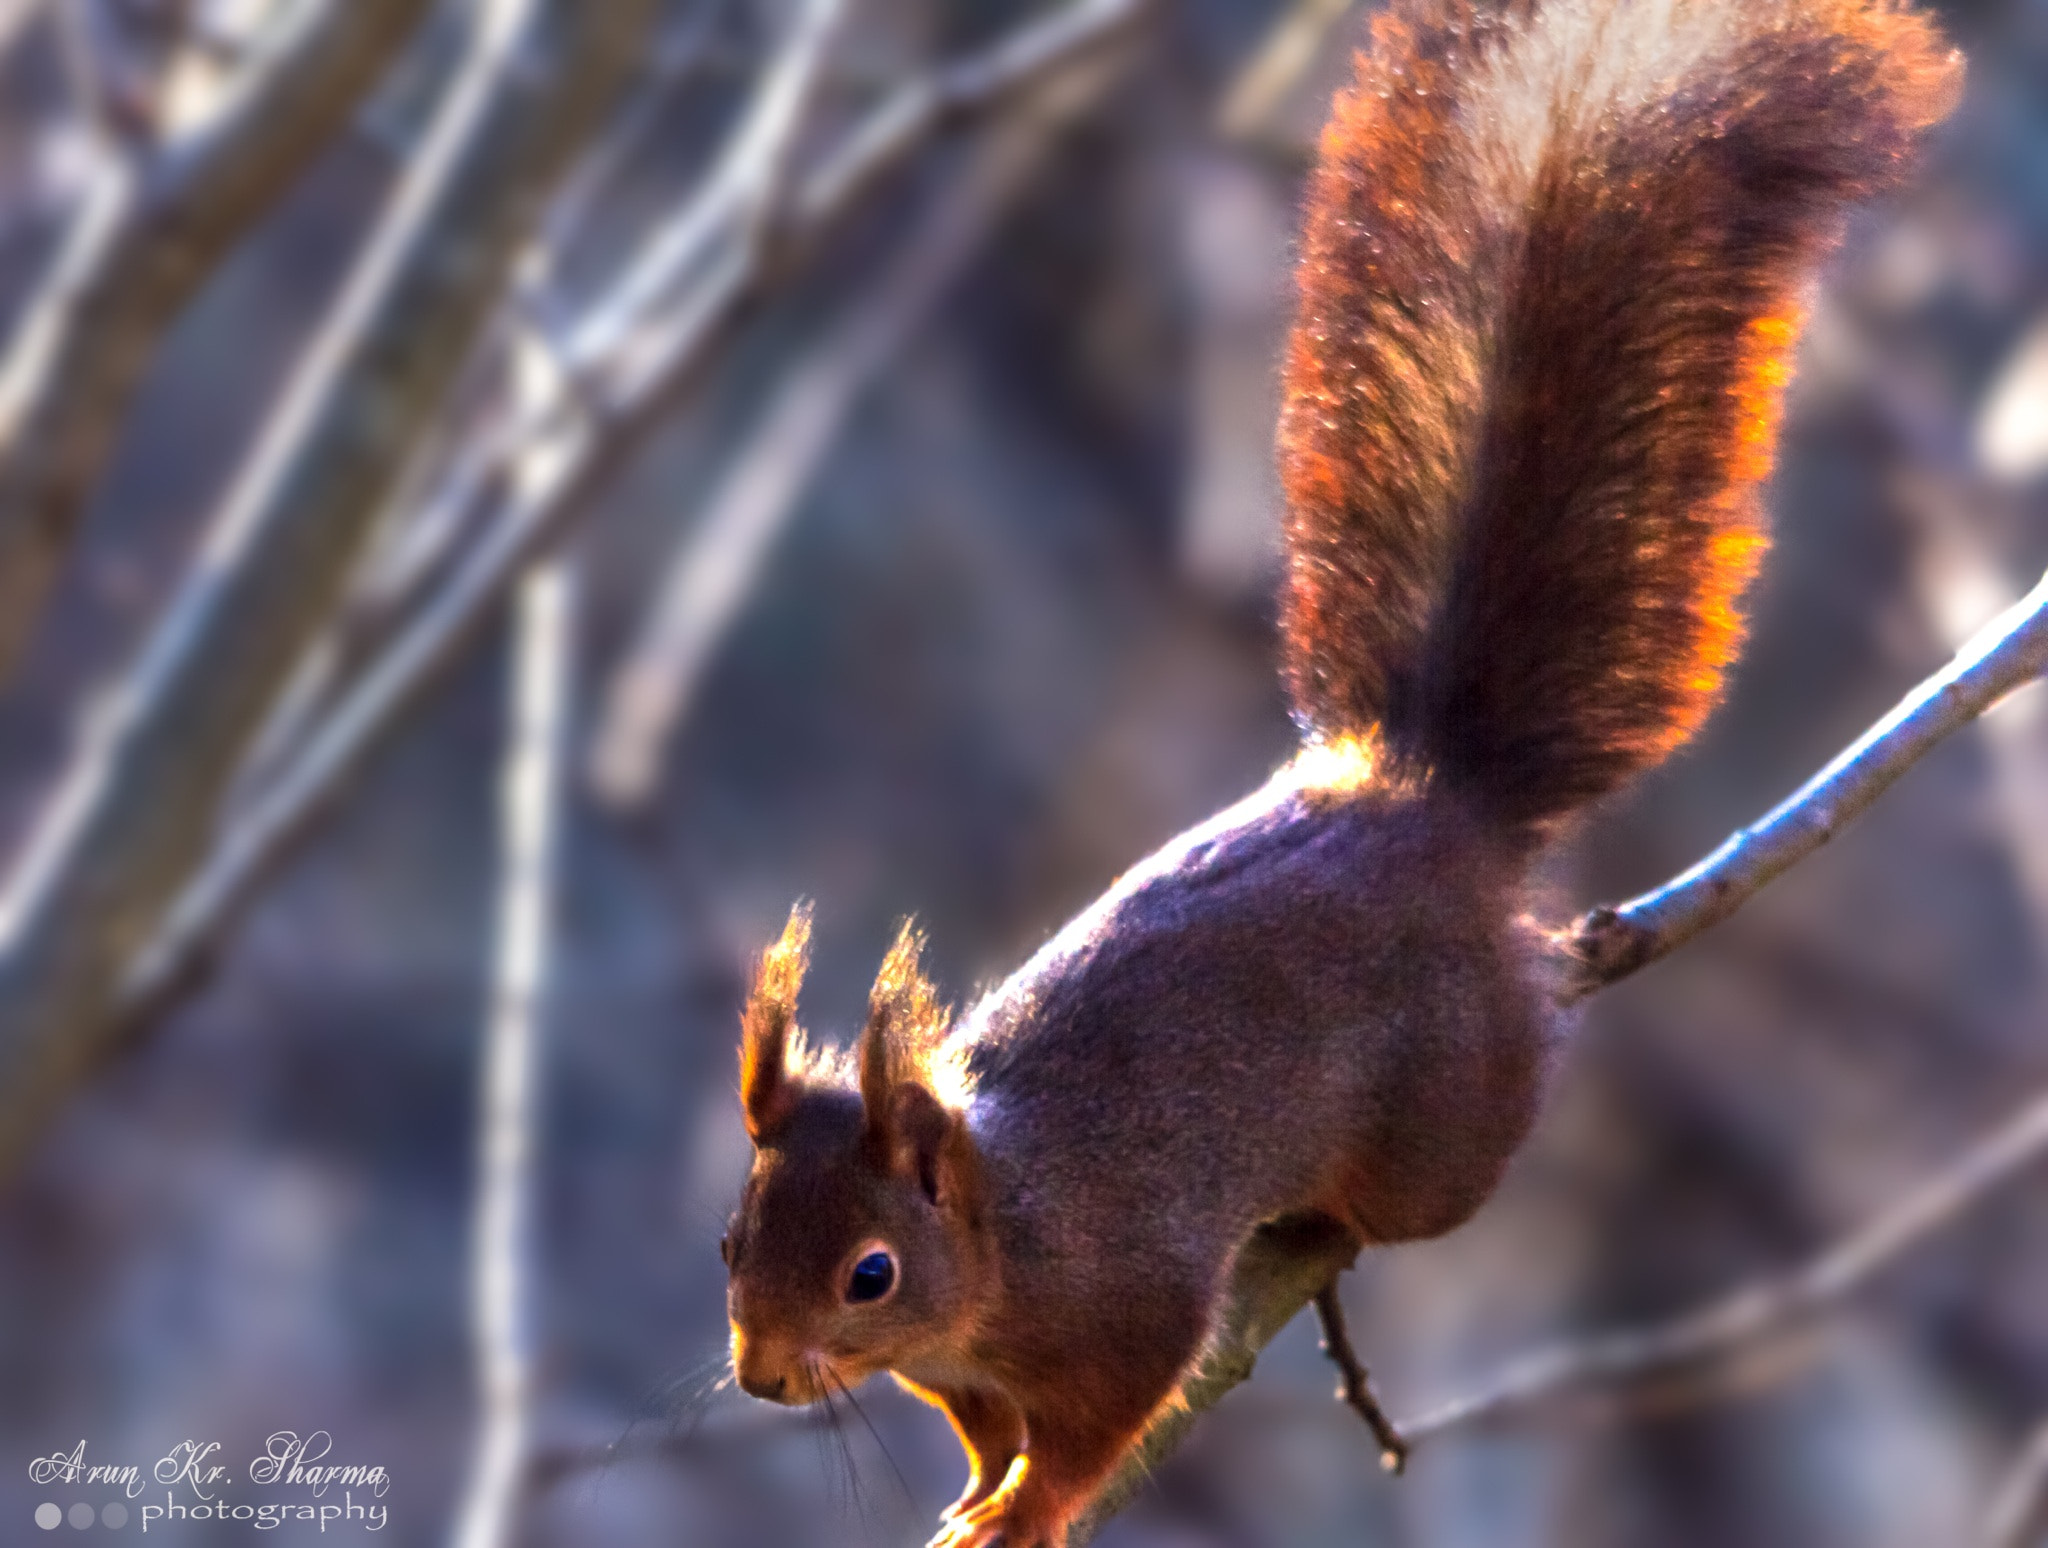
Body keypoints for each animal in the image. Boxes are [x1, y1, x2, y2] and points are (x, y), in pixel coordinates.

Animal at [712, 6, 1957, 1539]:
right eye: (730, 1238)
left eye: (869, 1275)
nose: (763, 1377)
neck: (1003, 1224)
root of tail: (1430, 798)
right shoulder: (966, 1378)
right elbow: (984, 1431)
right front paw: (973, 1497)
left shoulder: (1124, 1304)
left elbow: (1100, 1422)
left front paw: (1028, 1507)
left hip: (1444, 1116)